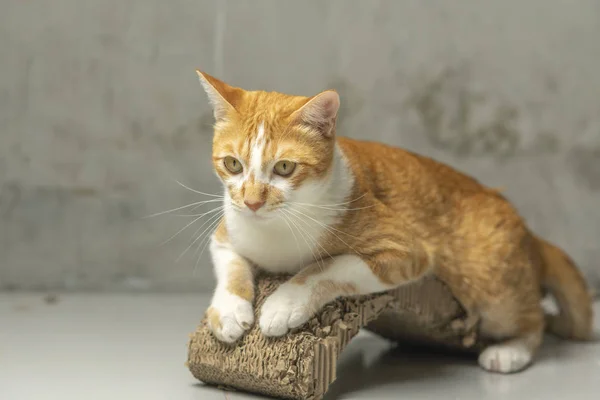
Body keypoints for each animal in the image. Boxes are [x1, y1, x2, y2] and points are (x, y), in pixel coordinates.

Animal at [196, 70, 592, 374]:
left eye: (283, 167)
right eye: (232, 164)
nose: (252, 201)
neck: (276, 229)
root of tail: (529, 232)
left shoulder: (405, 251)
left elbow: (327, 267)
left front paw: (285, 302)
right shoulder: (225, 232)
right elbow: (230, 264)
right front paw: (228, 311)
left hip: (494, 286)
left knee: (533, 319)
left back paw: (509, 352)